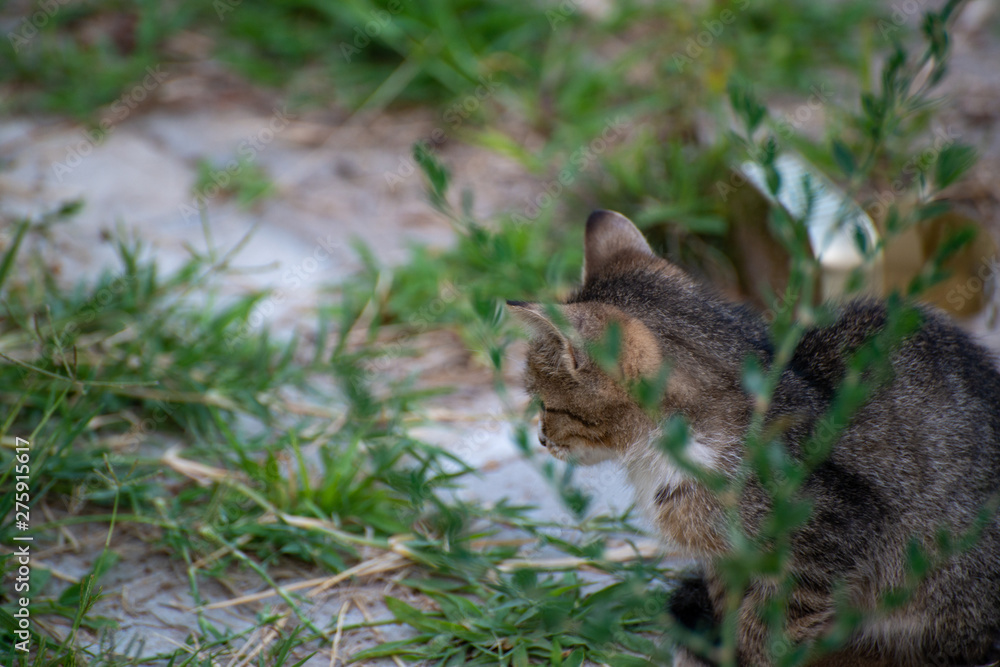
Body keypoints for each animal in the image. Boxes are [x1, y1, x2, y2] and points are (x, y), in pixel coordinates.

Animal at [508, 211, 1000, 667]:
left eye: (546, 405)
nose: (541, 440)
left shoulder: (833, 531)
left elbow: (771, 623)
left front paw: (753, 653)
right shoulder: (726, 557)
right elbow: (730, 605)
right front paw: (726, 645)